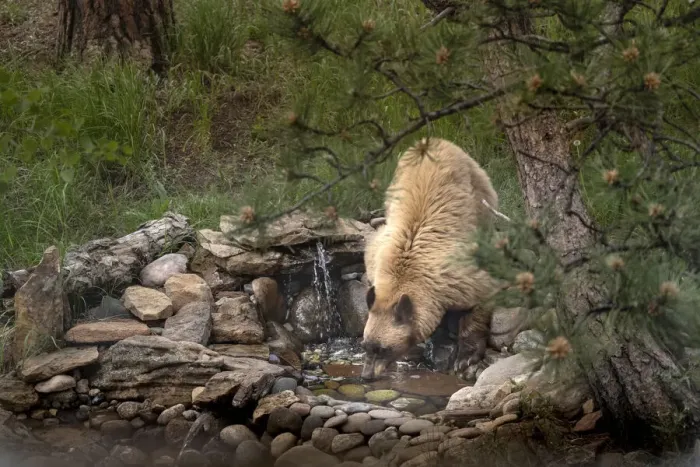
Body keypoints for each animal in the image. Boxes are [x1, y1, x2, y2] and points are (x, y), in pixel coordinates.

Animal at [361, 136, 500, 380]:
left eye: (383, 349)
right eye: (365, 345)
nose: (366, 375)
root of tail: (434, 139)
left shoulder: (454, 274)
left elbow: (483, 294)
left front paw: (466, 357)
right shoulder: (377, 254)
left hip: (480, 196)